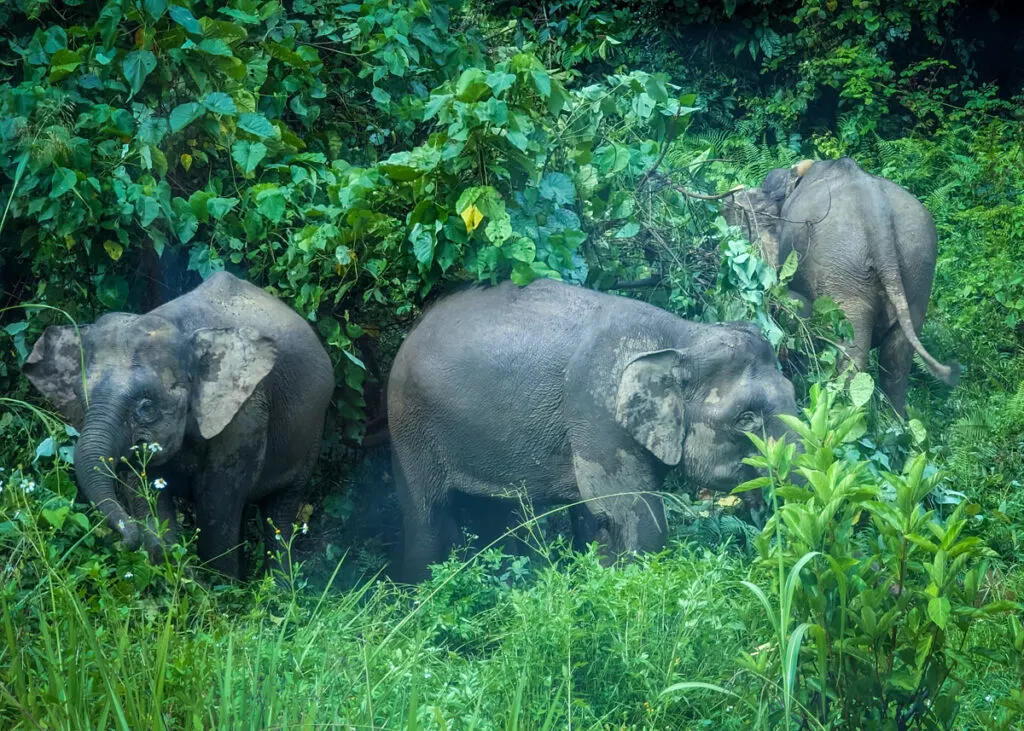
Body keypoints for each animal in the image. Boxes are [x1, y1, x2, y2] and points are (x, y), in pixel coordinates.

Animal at [24, 270, 333, 577]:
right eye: (78, 396)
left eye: (146, 406)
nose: (124, 542)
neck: (181, 328)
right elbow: (146, 496)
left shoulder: (246, 416)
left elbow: (217, 504)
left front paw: (219, 586)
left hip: (311, 432)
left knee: (281, 511)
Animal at [387, 278, 794, 581]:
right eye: (746, 418)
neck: (681, 337)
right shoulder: (595, 411)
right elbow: (629, 514)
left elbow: (598, 519)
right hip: (407, 424)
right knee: (426, 518)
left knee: (493, 519)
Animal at [724, 155, 954, 413]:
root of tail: (878, 218)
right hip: (919, 269)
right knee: (896, 358)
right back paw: (896, 420)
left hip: (843, 273)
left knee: (851, 352)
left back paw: (843, 410)